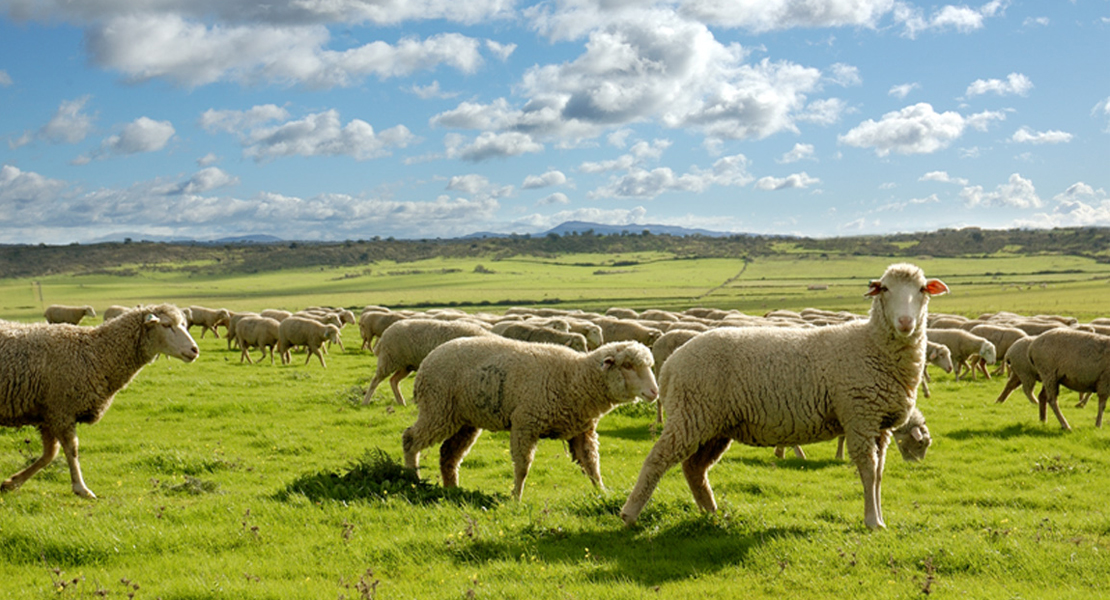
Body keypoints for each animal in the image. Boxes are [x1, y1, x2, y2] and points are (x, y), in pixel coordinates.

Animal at [0, 303, 197, 496]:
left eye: (183, 324)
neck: (95, 353)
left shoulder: (49, 413)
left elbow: (49, 455)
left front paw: (11, 483)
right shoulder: (61, 410)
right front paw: (81, 488)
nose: (195, 350)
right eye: (166, 325)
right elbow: (71, 450)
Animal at [361, 317, 492, 408]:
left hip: (406, 365)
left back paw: (401, 402)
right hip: (389, 360)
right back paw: (365, 401)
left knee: (393, 380)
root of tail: (384, 334)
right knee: (375, 381)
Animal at [401, 337, 652, 501]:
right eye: (627, 365)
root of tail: (429, 358)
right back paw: (413, 478)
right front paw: (516, 497)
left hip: (464, 421)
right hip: (437, 409)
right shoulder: (525, 424)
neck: (574, 378)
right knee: (410, 438)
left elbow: (592, 466)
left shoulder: (582, 431)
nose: (654, 392)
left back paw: (452, 489)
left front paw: (602, 492)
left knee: (448, 454)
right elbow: (522, 467)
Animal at [621, 261, 950, 527]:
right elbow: (868, 470)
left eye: (922, 289)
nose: (905, 322)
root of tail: (670, 364)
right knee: (657, 459)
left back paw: (713, 514)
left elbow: (879, 473)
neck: (872, 344)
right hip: (691, 414)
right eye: (885, 289)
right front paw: (872, 522)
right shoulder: (860, 416)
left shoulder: (879, 424)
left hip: (714, 425)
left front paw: (880, 517)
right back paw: (630, 515)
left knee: (694, 468)